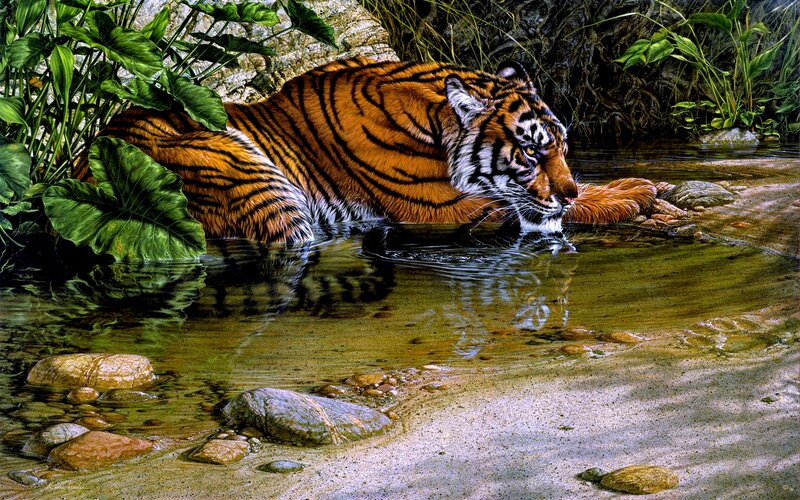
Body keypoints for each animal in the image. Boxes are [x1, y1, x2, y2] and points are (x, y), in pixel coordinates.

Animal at [75, 57, 656, 244]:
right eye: (533, 155)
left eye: (564, 150)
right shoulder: (446, 208)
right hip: (250, 176)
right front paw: (631, 193)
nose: (568, 188)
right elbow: (544, 208)